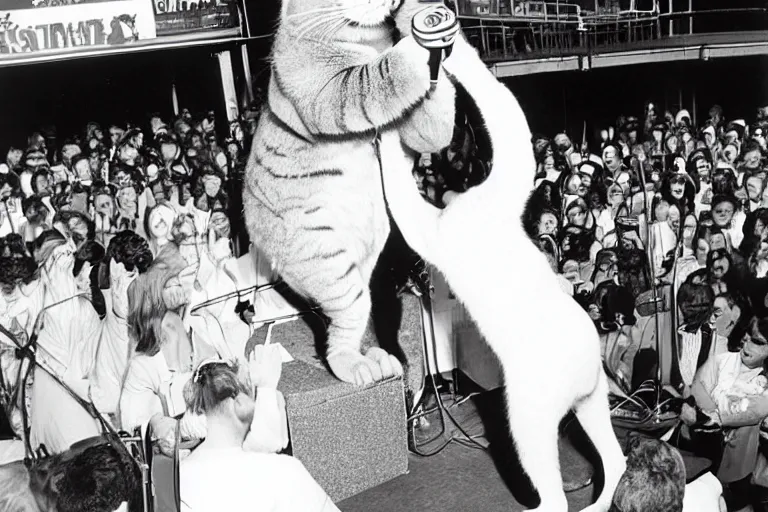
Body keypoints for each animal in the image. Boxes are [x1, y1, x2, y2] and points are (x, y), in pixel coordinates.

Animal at [244, 0, 456, 384]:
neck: (367, 35)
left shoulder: (420, 129)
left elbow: (432, 118)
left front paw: (418, 18)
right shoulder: (325, 88)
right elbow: (374, 76)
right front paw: (416, 43)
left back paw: (380, 359)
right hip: (326, 262)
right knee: (342, 329)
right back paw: (357, 366)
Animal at [376, 35, 624, 508]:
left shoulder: (441, 231)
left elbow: (404, 202)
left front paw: (385, 139)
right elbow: (508, 117)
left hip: (531, 409)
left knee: (550, 482)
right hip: (592, 395)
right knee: (614, 456)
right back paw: (602, 498)